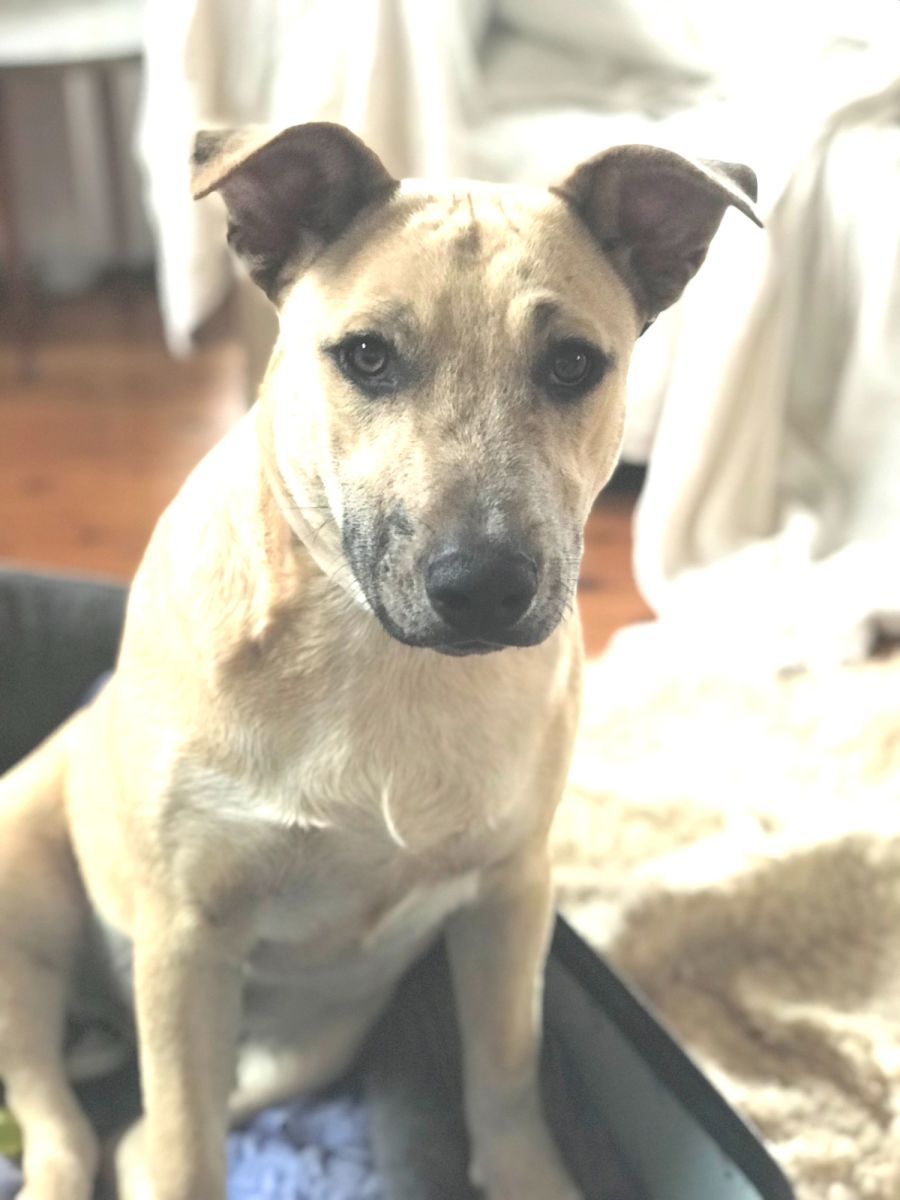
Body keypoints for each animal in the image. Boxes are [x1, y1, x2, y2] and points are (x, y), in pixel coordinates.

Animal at [0, 122, 759, 1200]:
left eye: (574, 363)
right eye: (366, 355)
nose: (483, 585)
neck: (377, 653)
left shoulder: (511, 898)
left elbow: (507, 1077)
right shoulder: (185, 938)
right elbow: (189, 1146)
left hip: (303, 1046)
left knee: (133, 1140)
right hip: (21, 902)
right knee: (68, 1128)